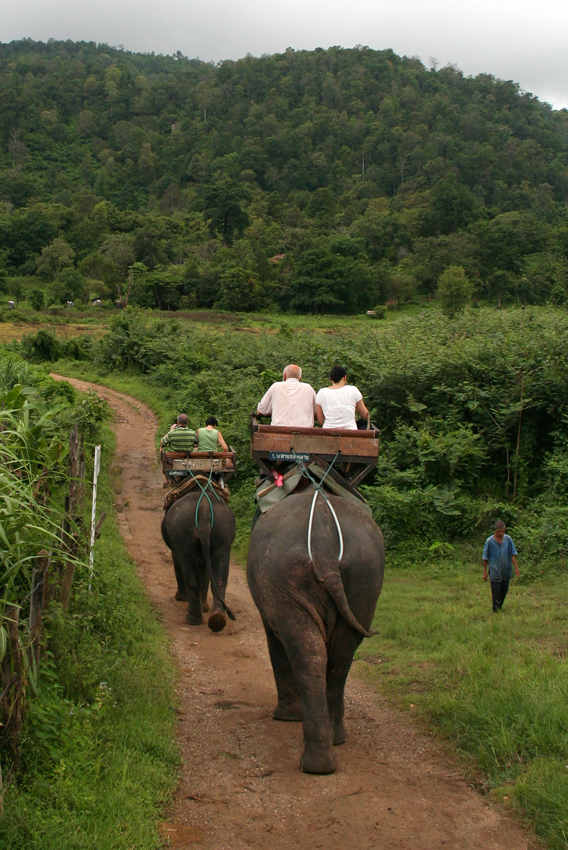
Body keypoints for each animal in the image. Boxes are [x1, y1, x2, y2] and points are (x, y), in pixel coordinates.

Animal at [162, 486, 235, 632]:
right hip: (223, 533)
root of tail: (204, 510)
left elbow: (178, 564)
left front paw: (181, 598)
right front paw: (204, 607)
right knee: (220, 578)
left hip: (184, 535)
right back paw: (217, 618)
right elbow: (205, 573)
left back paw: (192, 619)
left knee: (191, 578)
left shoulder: (176, 547)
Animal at [246, 486, 384, 772]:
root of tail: (324, 549)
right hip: (364, 580)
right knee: (340, 657)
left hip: (285, 578)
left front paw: (286, 717)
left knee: (308, 655)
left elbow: (275, 641)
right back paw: (334, 742)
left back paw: (314, 761)